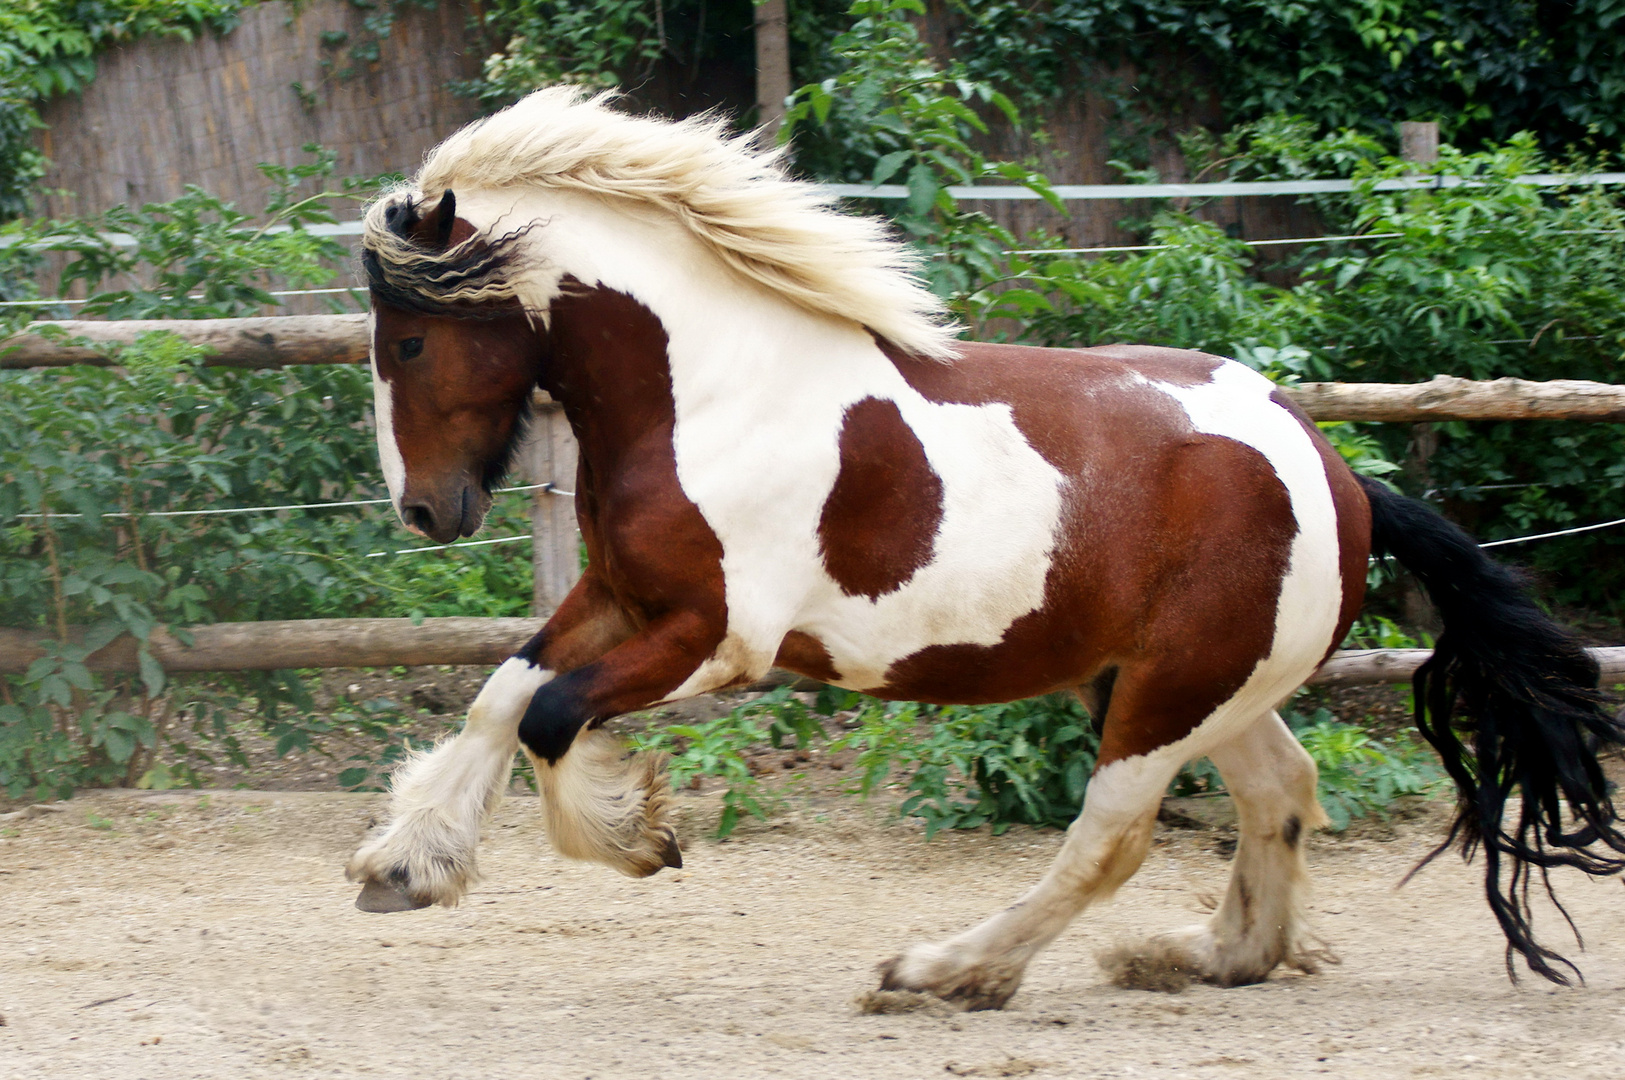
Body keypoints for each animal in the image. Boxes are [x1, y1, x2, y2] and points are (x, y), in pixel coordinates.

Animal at [346, 86, 1625, 1000]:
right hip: (1198, 683)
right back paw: (1206, 957)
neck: (708, 393)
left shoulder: (716, 636)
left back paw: (944, 971)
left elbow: (552, 715)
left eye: (407, 341)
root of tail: (1337, 474)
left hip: (1167, 694)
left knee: (1109, 839)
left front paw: (638, 839)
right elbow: (501, 695)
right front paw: (403, 868)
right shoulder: (621, 598)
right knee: (1281, 793)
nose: (424, 512)